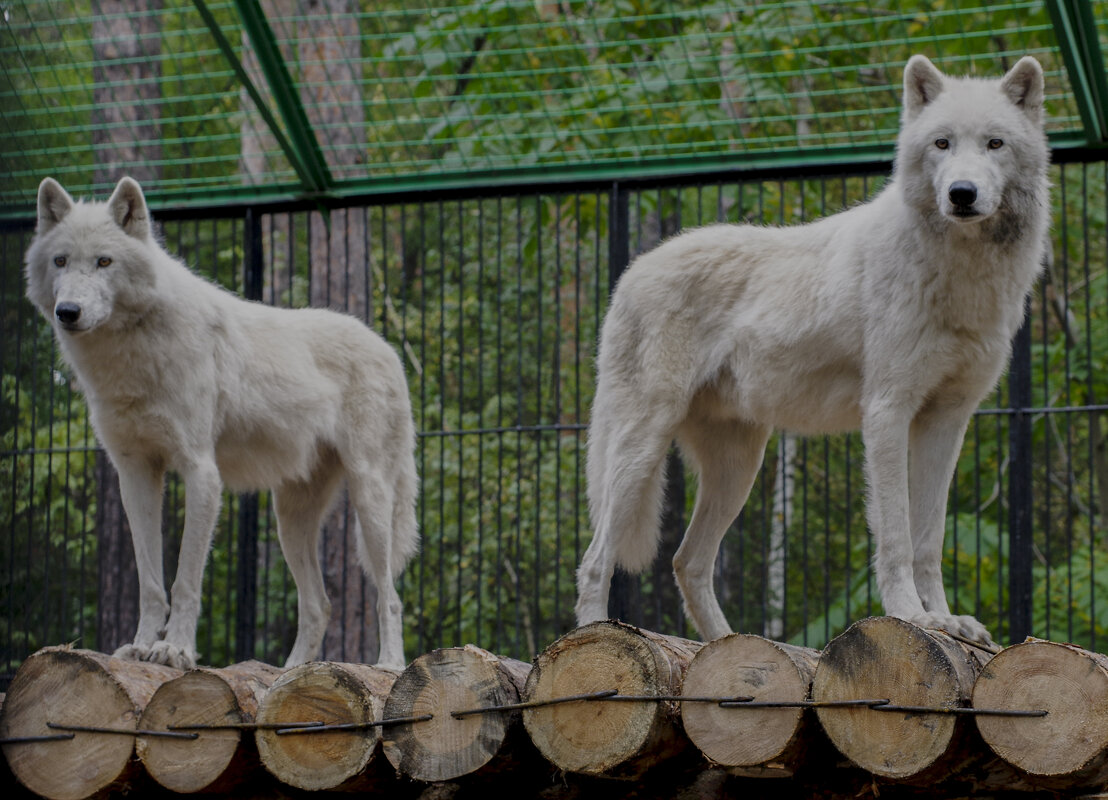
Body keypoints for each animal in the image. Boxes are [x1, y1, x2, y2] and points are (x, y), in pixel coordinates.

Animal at [22, 177, 418, 669]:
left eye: (104, 261)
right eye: (60, 261)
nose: (68, 311)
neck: (131, 358)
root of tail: (388, 349)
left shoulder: (201, 471)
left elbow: (185, 579)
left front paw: (174, 649)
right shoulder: (135, 474)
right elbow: (150, 582)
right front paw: (140, 646)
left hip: (370, 501)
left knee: (391, 596)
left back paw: (389, 665)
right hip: (289, 520)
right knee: (320, 604)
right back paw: (291, 673)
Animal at [576, 55, 1050, 647]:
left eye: (994, 143)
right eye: (942, 143)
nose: (961, 194)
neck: (962, 275)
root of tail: (631, 272)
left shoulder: (946, 421)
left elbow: (928, 539)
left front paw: (946, 619)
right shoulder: (887, 411)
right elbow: (896, 536)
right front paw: (911, 616)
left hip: (739, 467)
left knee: (688, 561)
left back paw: (730, 645)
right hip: (643, 447)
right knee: (596, 558)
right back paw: (588, 639)